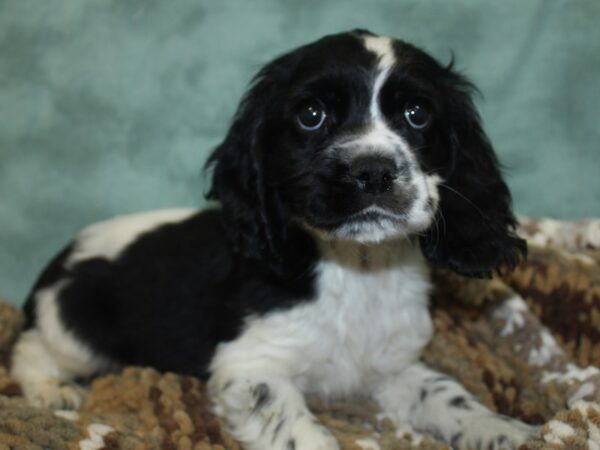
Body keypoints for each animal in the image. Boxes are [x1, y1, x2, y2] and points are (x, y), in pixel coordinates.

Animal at [9, 29, 536, 448]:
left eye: (417, 113)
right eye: (311, 114)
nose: (372, 171)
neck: (356, 271)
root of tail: (63, 255)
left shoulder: (394, 365)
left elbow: (448, 395)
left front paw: (504, 430)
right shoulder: (250, 367)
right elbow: (299, 431)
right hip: (75, 326)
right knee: (28, 347)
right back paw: (51, 390)